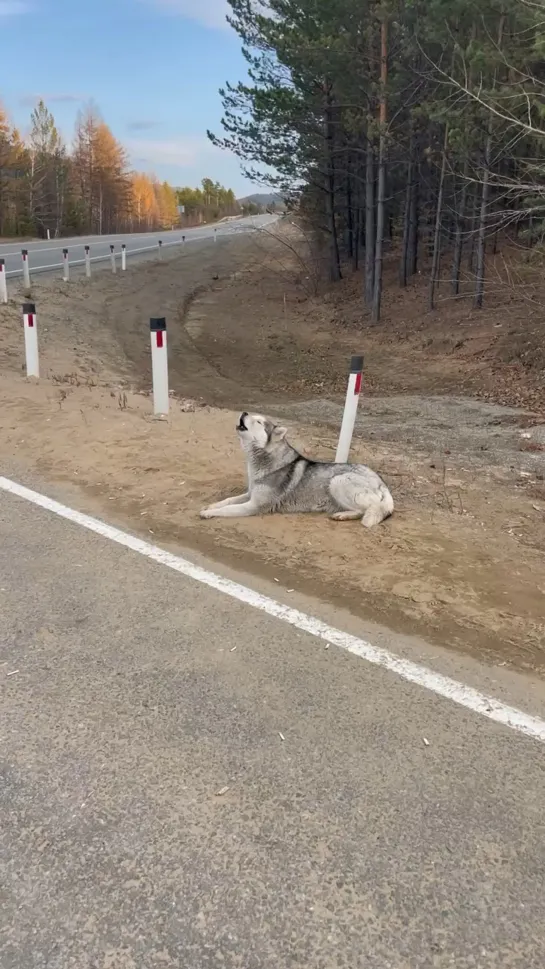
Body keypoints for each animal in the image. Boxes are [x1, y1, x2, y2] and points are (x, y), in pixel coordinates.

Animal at [199, 410, 392, 528]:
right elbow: (228, 500)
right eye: (252, 416)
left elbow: (226, 509)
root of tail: (381, 482)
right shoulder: (249, 494)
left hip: (338, 481)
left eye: (259, 422)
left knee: (366, 510)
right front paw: (212, 505)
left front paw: (208, 513)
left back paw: (342, 515)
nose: (244, 412)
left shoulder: (253, 505)